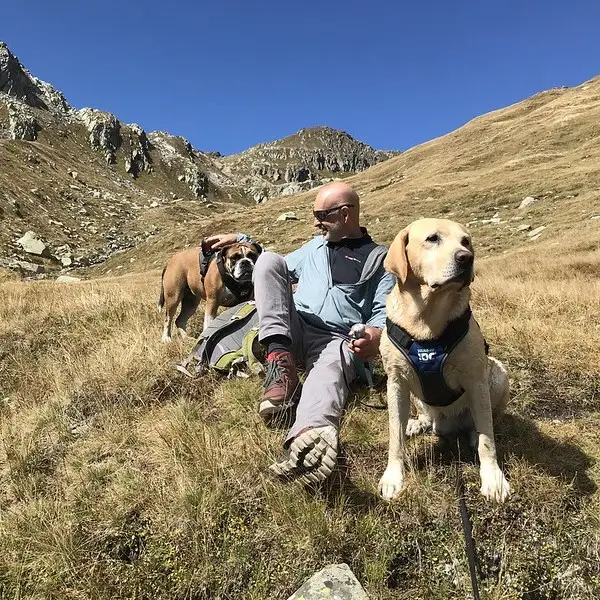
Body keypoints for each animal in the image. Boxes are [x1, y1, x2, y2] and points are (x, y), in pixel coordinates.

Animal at [378, 218, 510, 503]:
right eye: (432, 238)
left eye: (466, 241)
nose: (467, 258)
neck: (426, 319)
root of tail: (446, 425)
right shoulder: (395, 382)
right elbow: (395, 437)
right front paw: (393, 476)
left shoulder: (475, 378)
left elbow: (488, 440)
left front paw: (493, 478)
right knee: (423, 417)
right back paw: (417, 423)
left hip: (497, 375)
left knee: (482, 421)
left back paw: (471, 433)